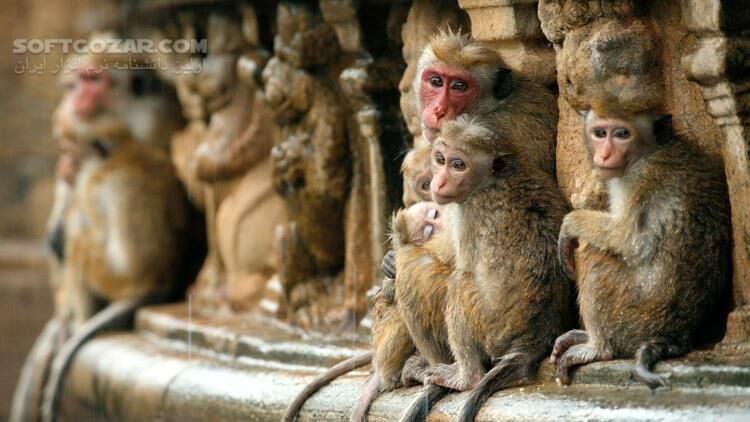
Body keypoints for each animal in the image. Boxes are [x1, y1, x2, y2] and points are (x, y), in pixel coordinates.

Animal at [406, 116, 573, 422]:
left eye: (458, 165)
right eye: (440, 159)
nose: (439, 181)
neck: (494, 178)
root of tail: (533, 340)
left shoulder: (468, 212)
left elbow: (460, 265)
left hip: (492, 327)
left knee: (460, 283)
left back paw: (466, 377)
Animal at [551, 108, 731, 390]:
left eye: (622, 133)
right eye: (600, 133)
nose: (604, 154)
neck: (651, 150)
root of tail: (677, 333)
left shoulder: (639, 177)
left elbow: (629, 239)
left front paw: (570, 224)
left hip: (636, 316)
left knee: (592, 252)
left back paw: (598, 347)